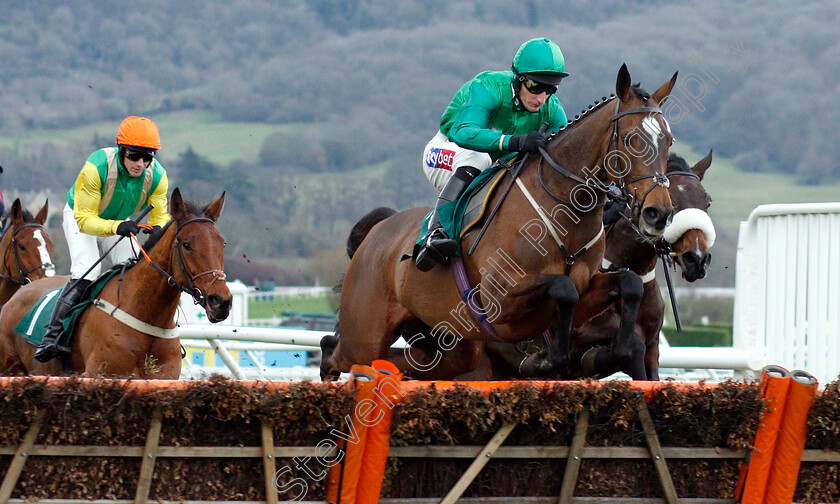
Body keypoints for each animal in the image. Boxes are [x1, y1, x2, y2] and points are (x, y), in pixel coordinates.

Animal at [0, 189, 230, 378]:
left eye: (222, 243)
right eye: (187, 244)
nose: (221, 301)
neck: (147, 316)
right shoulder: (97, 375)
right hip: (12, 368)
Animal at [320, 66, 676, 382]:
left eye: (669, 140)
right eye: (630, 139)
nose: (658, 213)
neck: (562, 212)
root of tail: (376, 233)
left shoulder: (586, 294)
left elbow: (628, 284)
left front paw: (613, 350)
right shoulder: (499, 302)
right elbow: (562, 289)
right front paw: (547, 359)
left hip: (451, 347)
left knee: (391, 362)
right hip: (366, 334)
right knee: (333, 351)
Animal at [466, 152, 716, 380]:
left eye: (707, 201)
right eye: (670, 200)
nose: (696, 257)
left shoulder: (653, 351)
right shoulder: (576, 340)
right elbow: (629, 347)